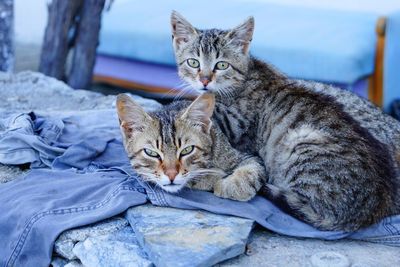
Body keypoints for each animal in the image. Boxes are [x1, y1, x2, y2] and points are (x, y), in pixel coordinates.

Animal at [115, 93, 266, 201]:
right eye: (151, 153)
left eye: (187, 150)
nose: (171, 175)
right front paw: (212, 178)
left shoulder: (246, 157)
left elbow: (253, 170)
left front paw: (233, 187)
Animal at [171, 11, 400, 232]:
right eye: (193, 62)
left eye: (221, 65)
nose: (204, 80)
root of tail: (370, 209)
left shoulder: (235, 125)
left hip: (301, 142)